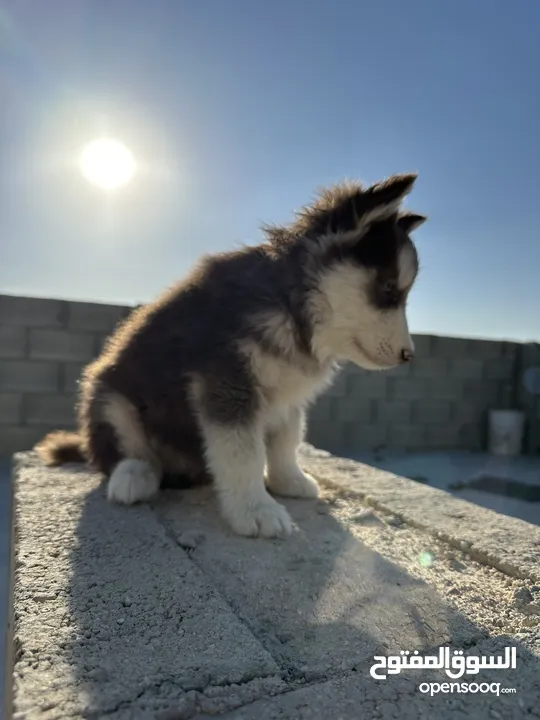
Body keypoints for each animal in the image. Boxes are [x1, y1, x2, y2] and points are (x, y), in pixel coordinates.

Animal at [35, 172, 428, 536]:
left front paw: (289, 480)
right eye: (389, 290)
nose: (409, 356)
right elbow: (243, 452)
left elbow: (287, 439)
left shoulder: (287, 391)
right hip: (108, 395)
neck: (292, 306)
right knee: (119, 453)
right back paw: (134, 475)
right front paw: (256, 510)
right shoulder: (227, 382)